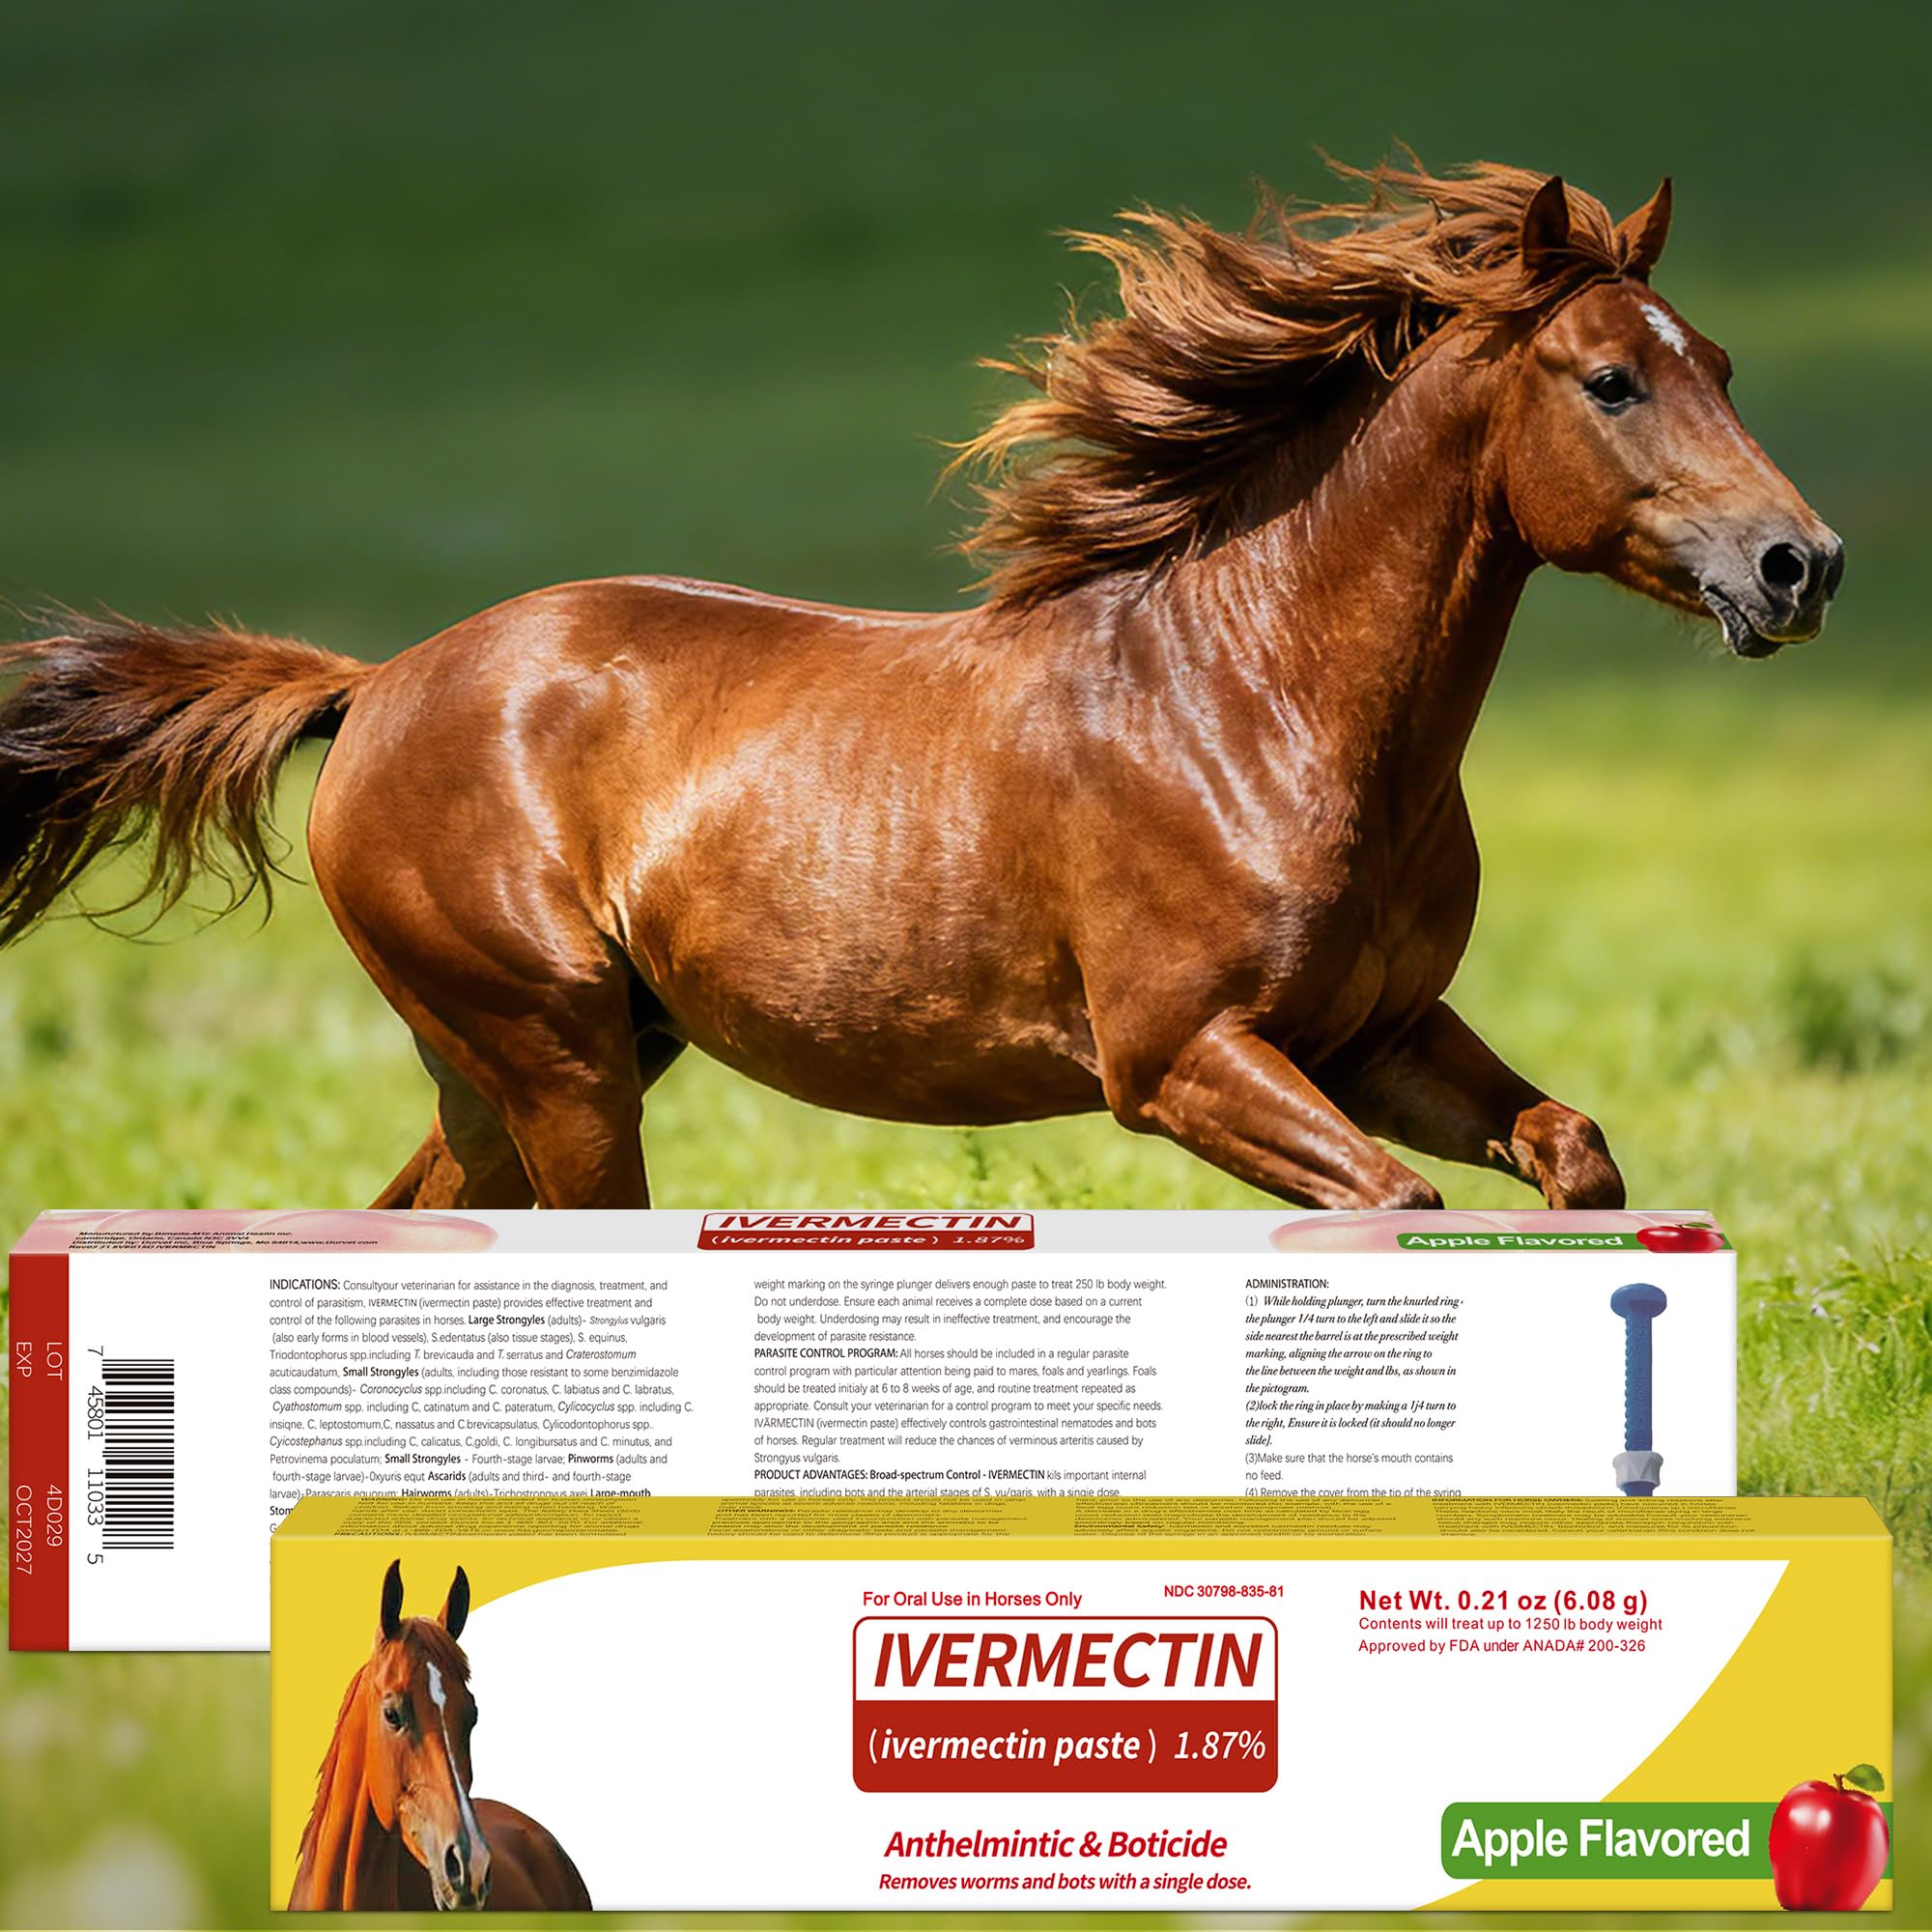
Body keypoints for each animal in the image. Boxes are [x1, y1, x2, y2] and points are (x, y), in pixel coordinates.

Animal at [0, 161, 1842, 1212]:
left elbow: (1573, 1155)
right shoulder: (1180, 1059)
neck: (1257, 710)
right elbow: (1394, 1210)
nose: (1800, 565)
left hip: (545, 1064)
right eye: (1610, 381)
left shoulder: (1377, 1034)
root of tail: (376, 683)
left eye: (1719, 362)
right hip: (558, 1059)